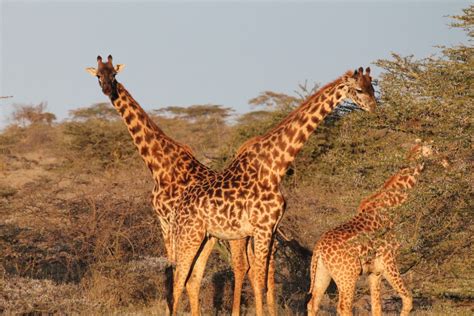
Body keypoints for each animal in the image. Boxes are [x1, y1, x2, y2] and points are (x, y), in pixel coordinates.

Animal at [86, 55, 252, 314]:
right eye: (98, 76)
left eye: (114, 74)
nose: (108, 90)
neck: (160, 165)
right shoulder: (163, 221)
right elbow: (171, 268)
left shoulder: (175, 220)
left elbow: (178, 272)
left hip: (235, 235)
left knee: (240, 265)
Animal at [308, 140, 448, 316]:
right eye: (434, 149)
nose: (446, 160)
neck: (391, 206)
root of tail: (318, 249)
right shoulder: (388, 259)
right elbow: (408, 299)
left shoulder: (375, 271)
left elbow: (377, 307)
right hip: (347, 275)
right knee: (343, 307)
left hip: (323, 273)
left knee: (313, 303)